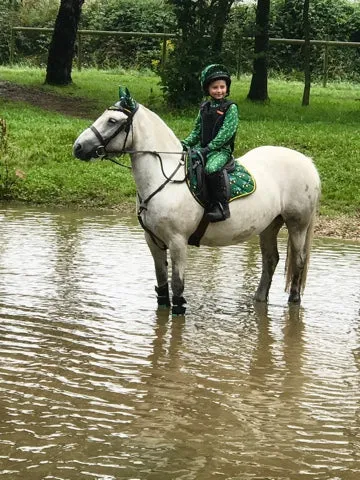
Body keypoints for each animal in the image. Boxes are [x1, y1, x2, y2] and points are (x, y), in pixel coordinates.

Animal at [72, 92, 320, 316]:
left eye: (112, 121)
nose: (78, 147)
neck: (164, 178)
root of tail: (307, 162)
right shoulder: (153, 241)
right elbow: (162, 287)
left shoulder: (177, 242)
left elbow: (177, 287)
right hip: (269, 225)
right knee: (270, 260)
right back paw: (259, 299)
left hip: (297, 224)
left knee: (298, 261)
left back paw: (294, 301)